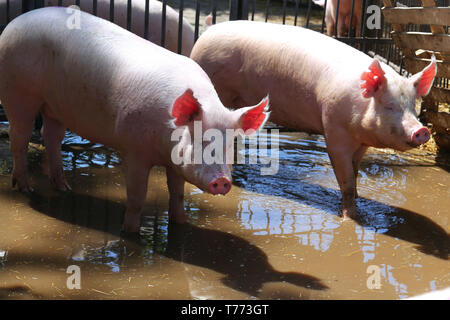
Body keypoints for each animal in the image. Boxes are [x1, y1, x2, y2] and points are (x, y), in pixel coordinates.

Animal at [0, 8, 268, 232]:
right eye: (201, 140)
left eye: (229, 144)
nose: (222, 181)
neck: (164, 144)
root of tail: (15, 22)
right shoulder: (134, 149)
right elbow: (137, 195)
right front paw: (129, 232)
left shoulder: (175, 163)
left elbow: (177, 194)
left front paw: (180, 223)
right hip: (18, 92)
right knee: (19, 137)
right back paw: (25, 187)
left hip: (55, 106)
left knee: (52, 136)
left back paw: (63, 188)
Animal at [191, 20, 436, 220]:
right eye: (389, 105)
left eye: (412, 107)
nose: (422, 130)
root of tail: (206, 33)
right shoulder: (334, 130)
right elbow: (346, 181)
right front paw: (350, 218)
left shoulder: (361, 144)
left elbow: (356, 173)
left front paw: (359, 201)